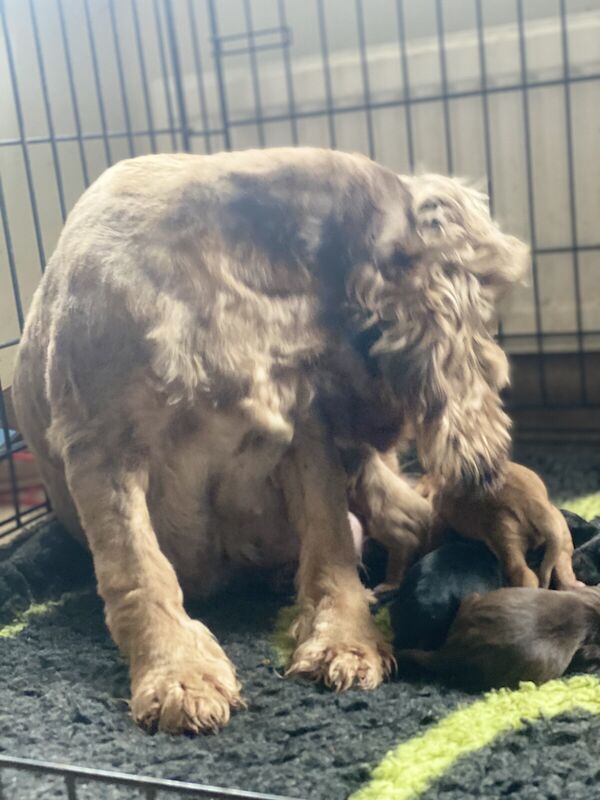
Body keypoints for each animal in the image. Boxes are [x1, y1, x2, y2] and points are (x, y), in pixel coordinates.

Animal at [12, 147, 528, 736]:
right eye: (483, 304)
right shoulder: (102, 451)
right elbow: (139, 570)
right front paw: (178, 674)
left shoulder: (307, 435)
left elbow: (329, 543)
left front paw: (345, 642)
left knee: (413, 522)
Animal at [422, 462, 580, 588]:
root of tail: (534, 502)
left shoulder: (438, 521)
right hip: (562, 537)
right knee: (563, 570)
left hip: (505, 536)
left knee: (524, 574)